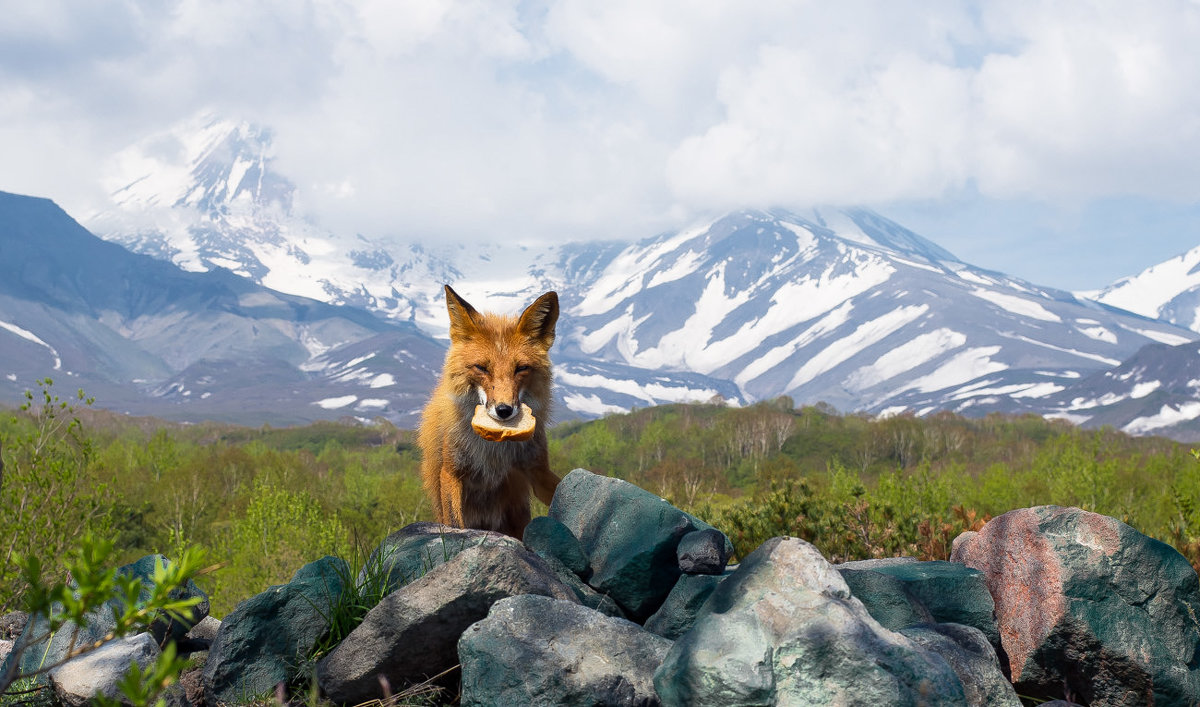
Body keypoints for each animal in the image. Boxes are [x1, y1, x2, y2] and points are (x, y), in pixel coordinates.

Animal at [417, 284, 561, 537]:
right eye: (481, 368)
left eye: (521, 368)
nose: (504, 410)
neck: (494, 451)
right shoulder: (452, 473)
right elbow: (456, 524)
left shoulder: (537, 469)